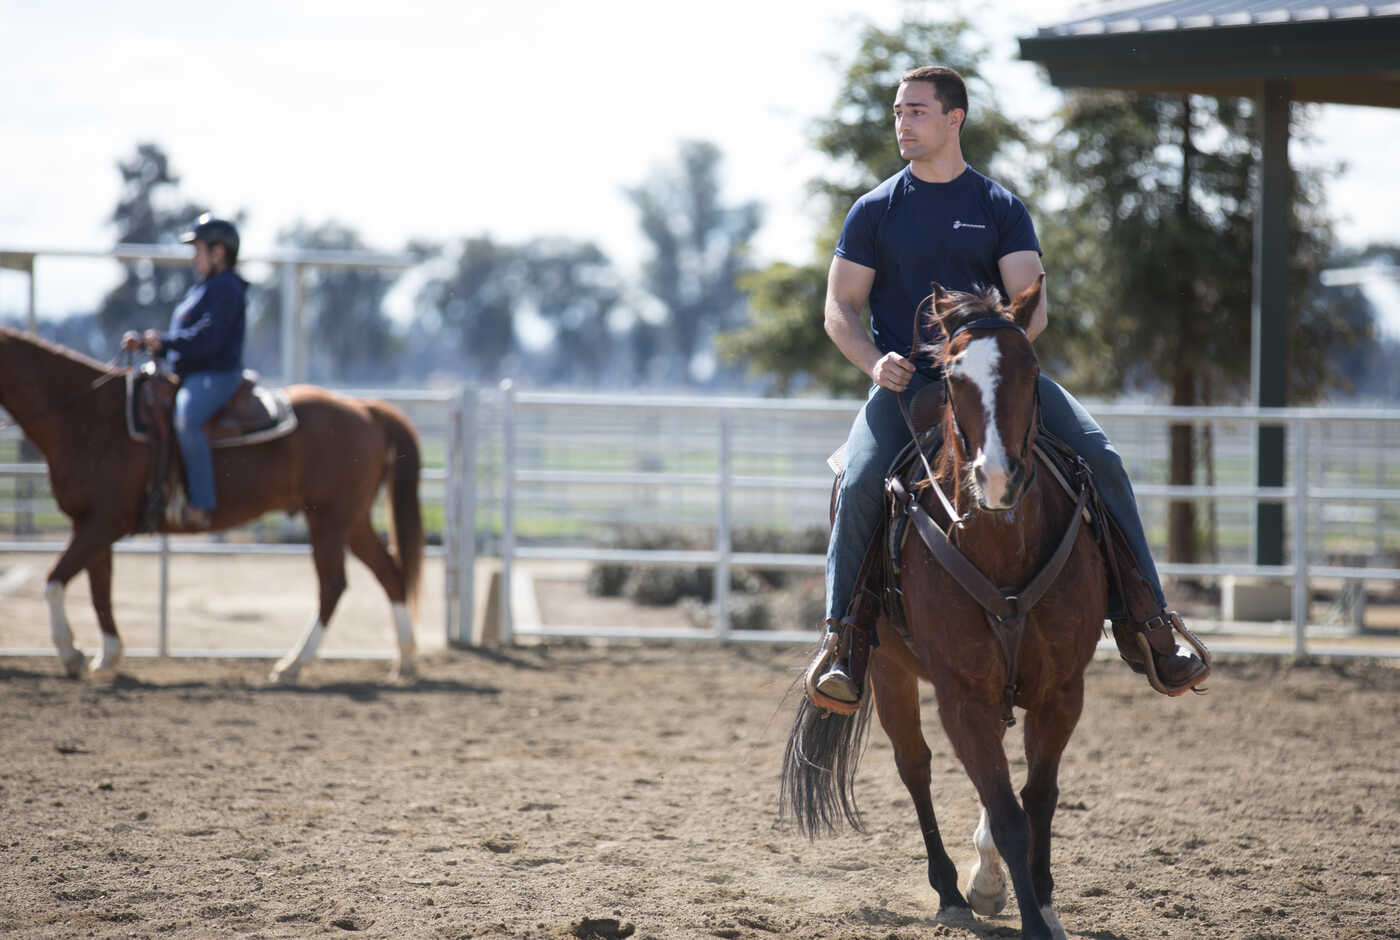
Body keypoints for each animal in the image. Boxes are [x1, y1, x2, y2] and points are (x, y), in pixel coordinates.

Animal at [1, 329, 425, 683]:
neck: (89, 416)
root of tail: (365, 408)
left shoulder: (104, 523)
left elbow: (55, 581)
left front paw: (71, 654)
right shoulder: (89, 525)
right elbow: (98, 589)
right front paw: (106, 657)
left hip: (329, 521)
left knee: (333, 585)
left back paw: (293, 664)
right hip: (352, 521)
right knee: (389, 574)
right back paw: (404, 661)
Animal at [789, 280, 1103, 940]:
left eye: (1030, 367)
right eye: (956, 377)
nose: (998, 478)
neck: (1002, 546)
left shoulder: (1064, 689)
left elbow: (1037, 798)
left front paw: (1044, 903)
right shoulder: (961, 695)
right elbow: (1007, 813)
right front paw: (1027, 916)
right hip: (887, 669)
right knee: (916, 767)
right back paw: (953, 892)